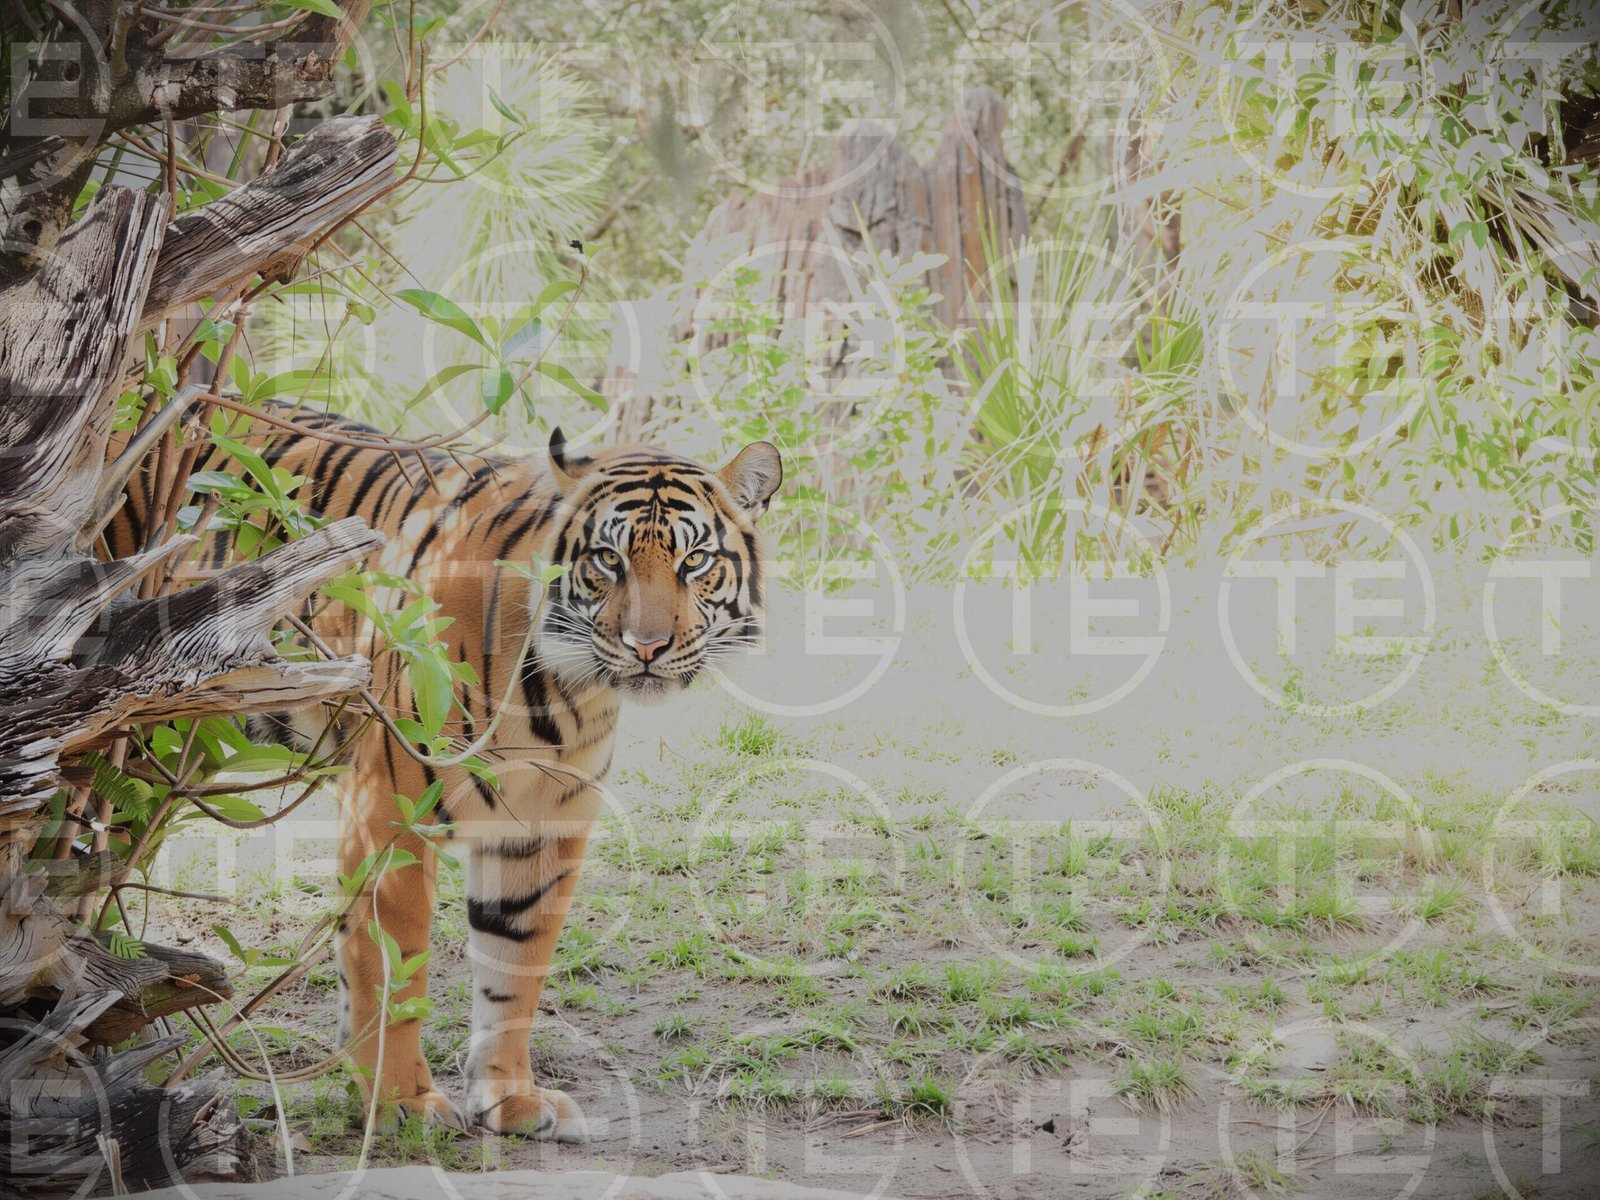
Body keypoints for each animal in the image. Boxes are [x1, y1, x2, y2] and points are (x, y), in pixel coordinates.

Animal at [108, 404, 781, 1139]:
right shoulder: (387, 813)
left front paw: (511, 1099)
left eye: (695, 561)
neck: (564, 693)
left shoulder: (543, 830)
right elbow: (394, 967)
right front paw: (402, 1102)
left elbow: (516, 967)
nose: (648, 647)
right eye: (608, 559)